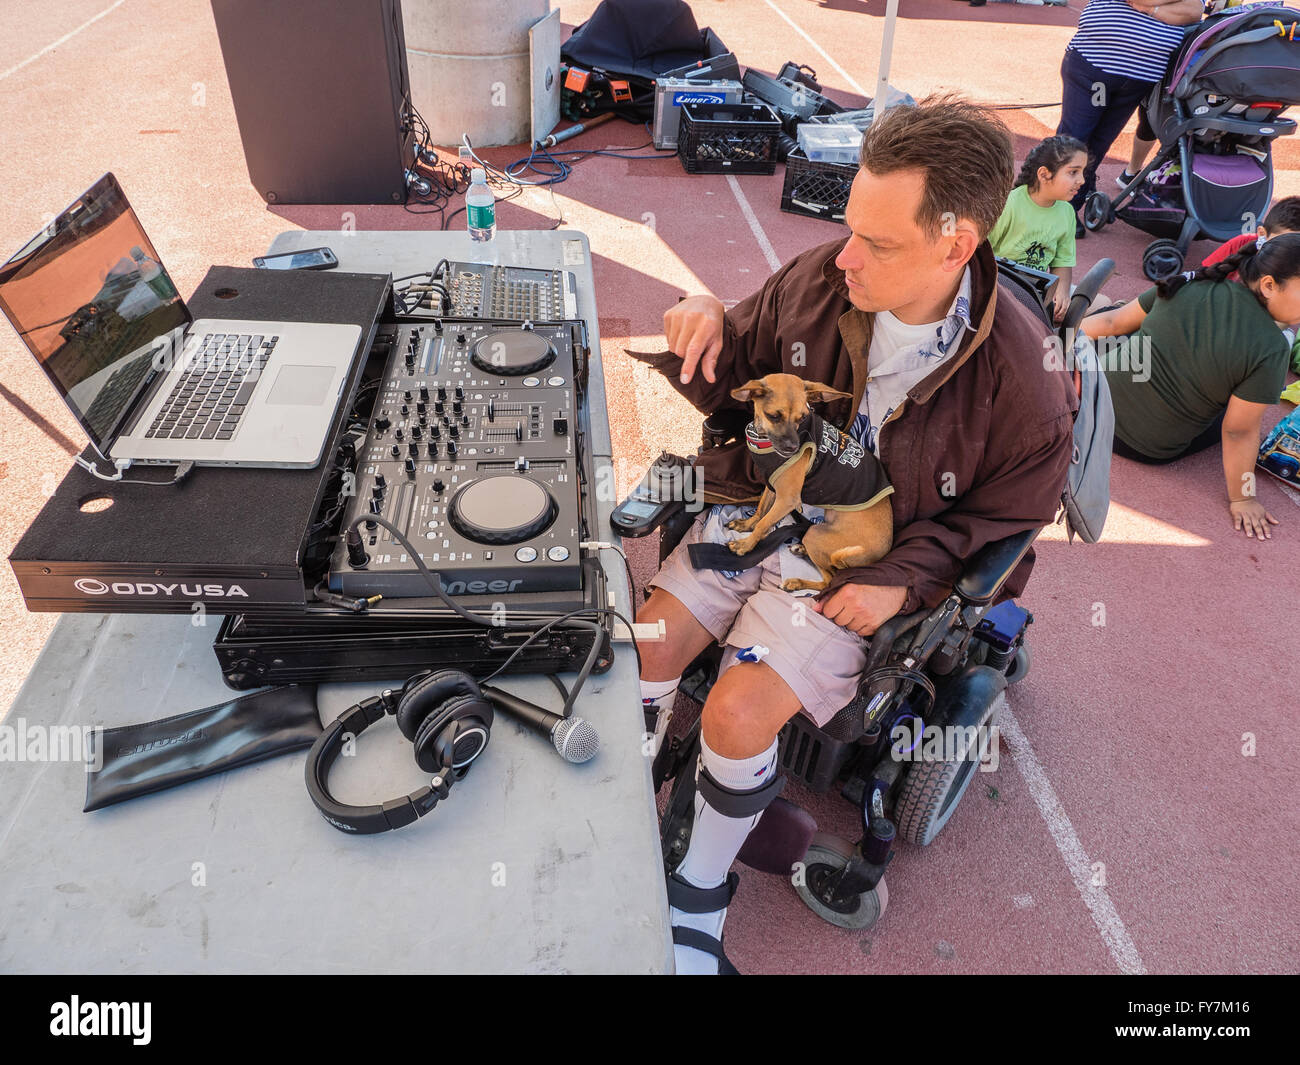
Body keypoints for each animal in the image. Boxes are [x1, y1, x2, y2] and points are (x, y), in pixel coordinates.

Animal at [728, 371, 899, 590]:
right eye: (774, 416)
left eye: (802, 418)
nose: (793, 448)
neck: (763, 438)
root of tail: (876, 557)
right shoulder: (772, 486)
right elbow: (760, 511)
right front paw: (745, 526)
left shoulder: (787, 500)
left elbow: (764, 524)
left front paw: (746, 545)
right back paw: (801, 551)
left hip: (815, 534)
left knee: (829, 580)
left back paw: (796, 582)